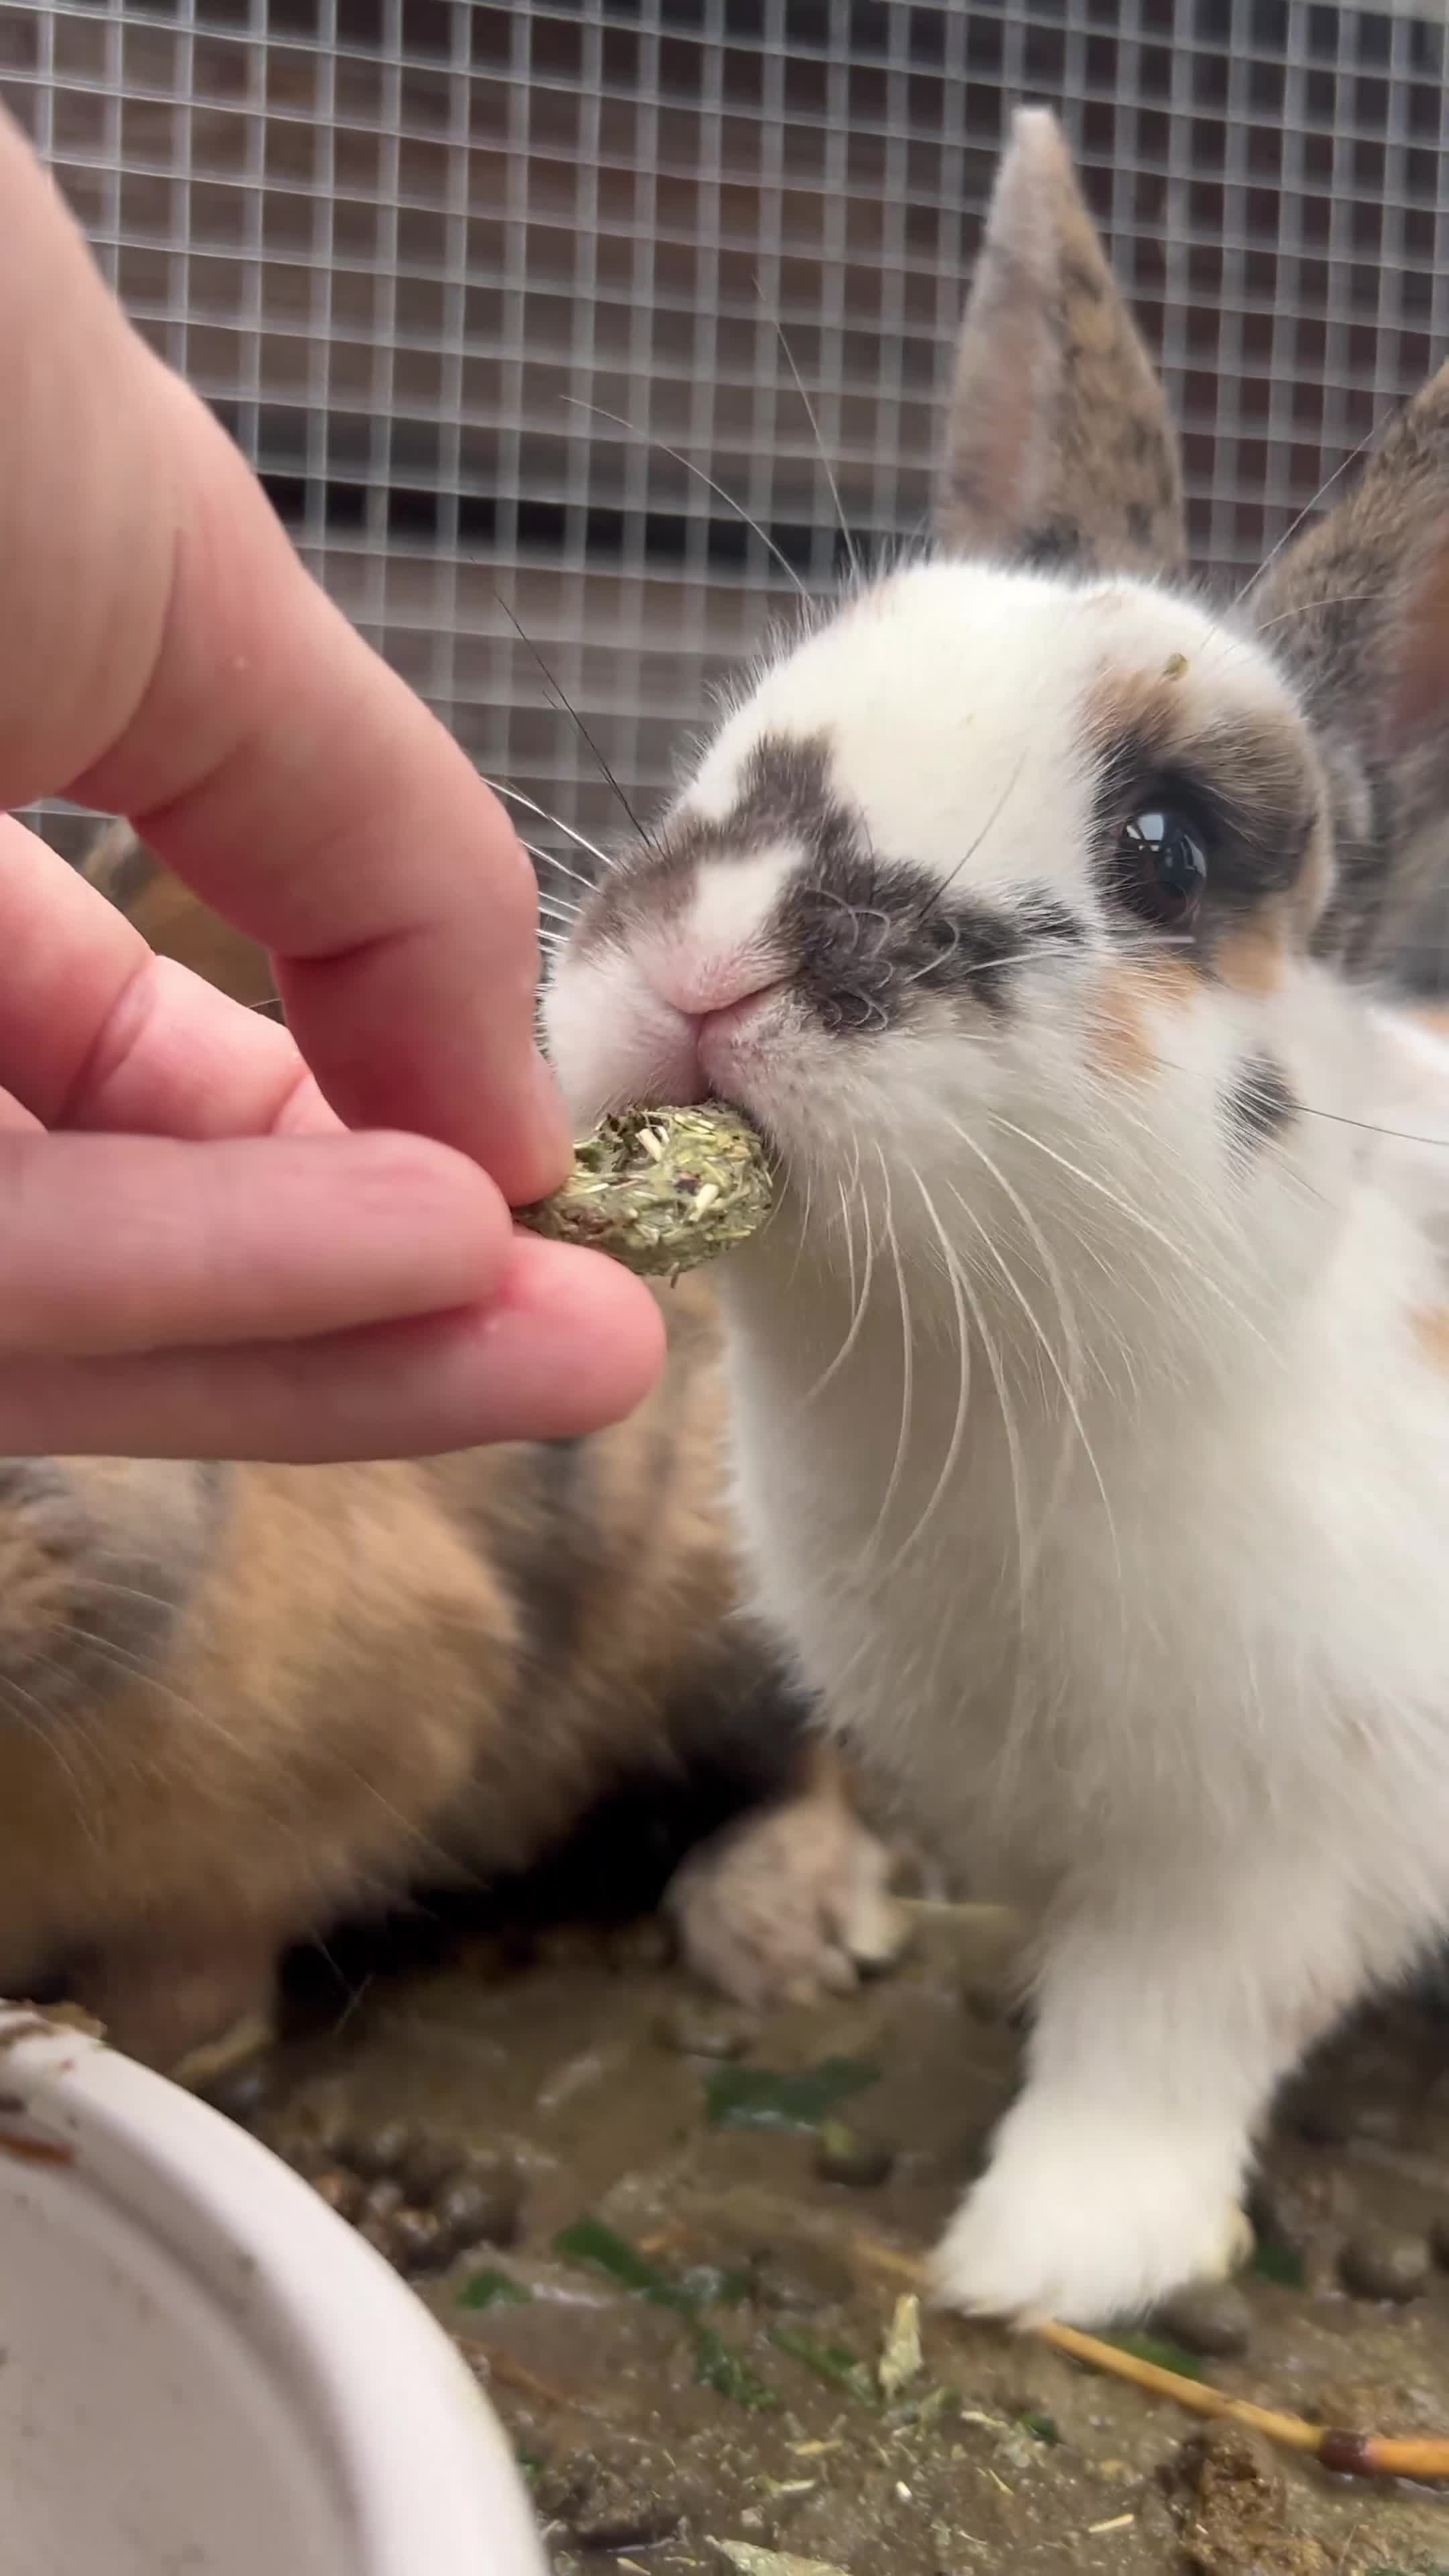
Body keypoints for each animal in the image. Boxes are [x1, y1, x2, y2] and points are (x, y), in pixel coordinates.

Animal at [542, 104, 1449, 2330]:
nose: (715, 960)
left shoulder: (1272, 1866)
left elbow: (1154, 2049)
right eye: (796, 691)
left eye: (1168, 844)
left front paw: (1044, 2259)